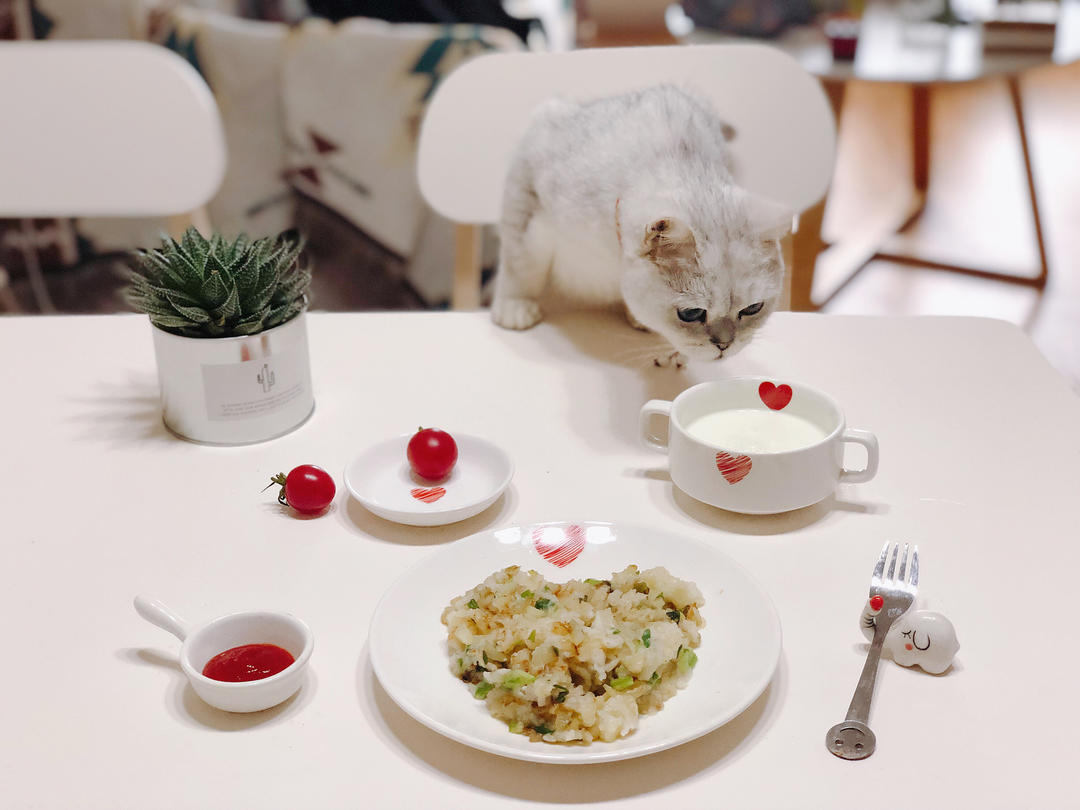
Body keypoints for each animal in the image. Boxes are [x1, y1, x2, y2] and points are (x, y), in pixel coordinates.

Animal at [491, 84, 793, 367]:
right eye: (691, 314)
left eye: (753, 308)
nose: (724, 345)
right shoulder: (528, 206)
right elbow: (521, 267)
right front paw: (514, 308)